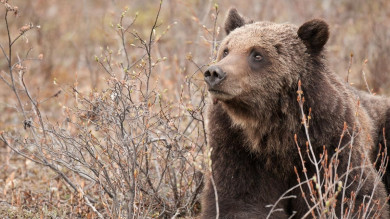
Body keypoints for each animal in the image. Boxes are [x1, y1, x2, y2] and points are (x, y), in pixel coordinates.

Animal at [201, 7, 390, 218]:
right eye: (226, 50)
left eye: (257, 55)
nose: (214, 73)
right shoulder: (236, 145)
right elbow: (238, 198)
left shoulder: (329, 141)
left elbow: (353, 194)